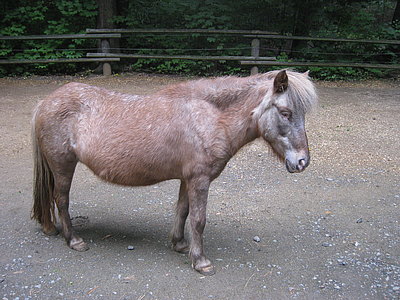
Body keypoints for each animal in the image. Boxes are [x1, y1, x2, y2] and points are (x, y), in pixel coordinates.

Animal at [31, 69, 318, 274]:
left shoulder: (187, 179)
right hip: (63, 166)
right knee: (61, 200)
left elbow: (182, 211)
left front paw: (180, 244)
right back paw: (74, 240)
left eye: (303, 114)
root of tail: (46, 102)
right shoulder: (200, 180)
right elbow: (199, 220)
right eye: (285, 112)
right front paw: (201, 261)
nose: (302, 161)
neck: (209, 117)